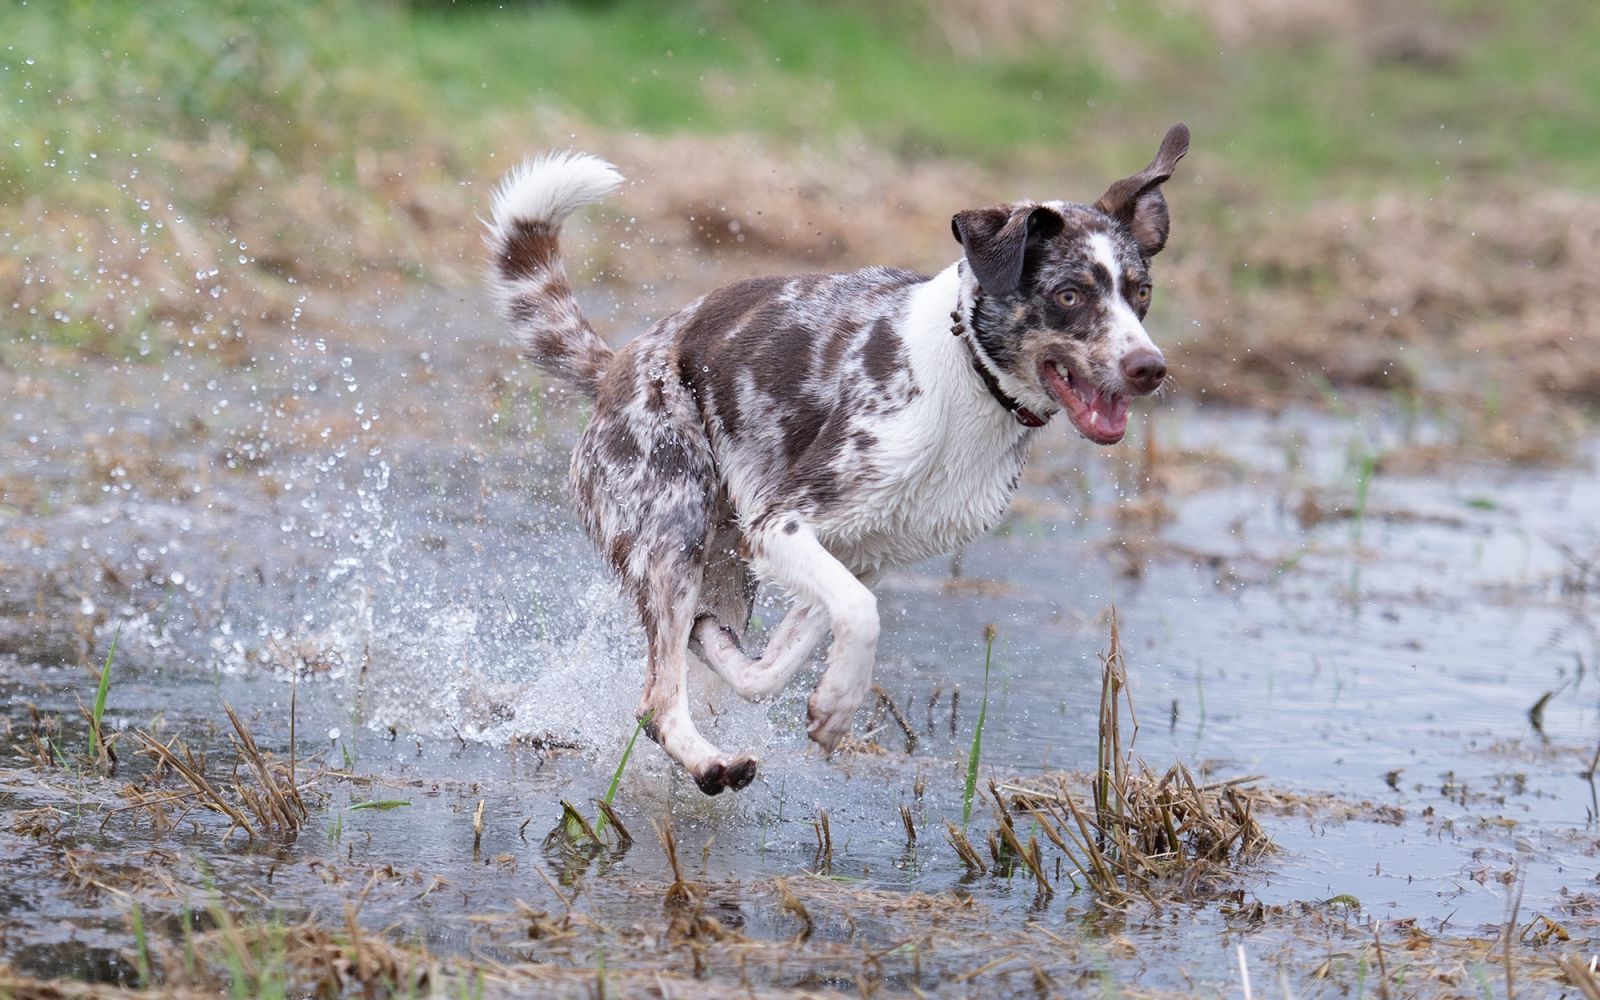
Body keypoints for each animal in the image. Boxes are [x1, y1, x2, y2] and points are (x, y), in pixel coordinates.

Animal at [486, 124, 1188, 794]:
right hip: (672, 535)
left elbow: (772, 668)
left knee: (700, 664)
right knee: (657, 702)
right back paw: (708, 762)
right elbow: (860, 614)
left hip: (726, 565)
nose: (1150, 368)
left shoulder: (857, 551)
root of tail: (614, 371)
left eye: (1143, 293)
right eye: (1069, 296)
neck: (964, 374)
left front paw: (786, 680)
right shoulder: (785, 523)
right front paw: (841, 701)